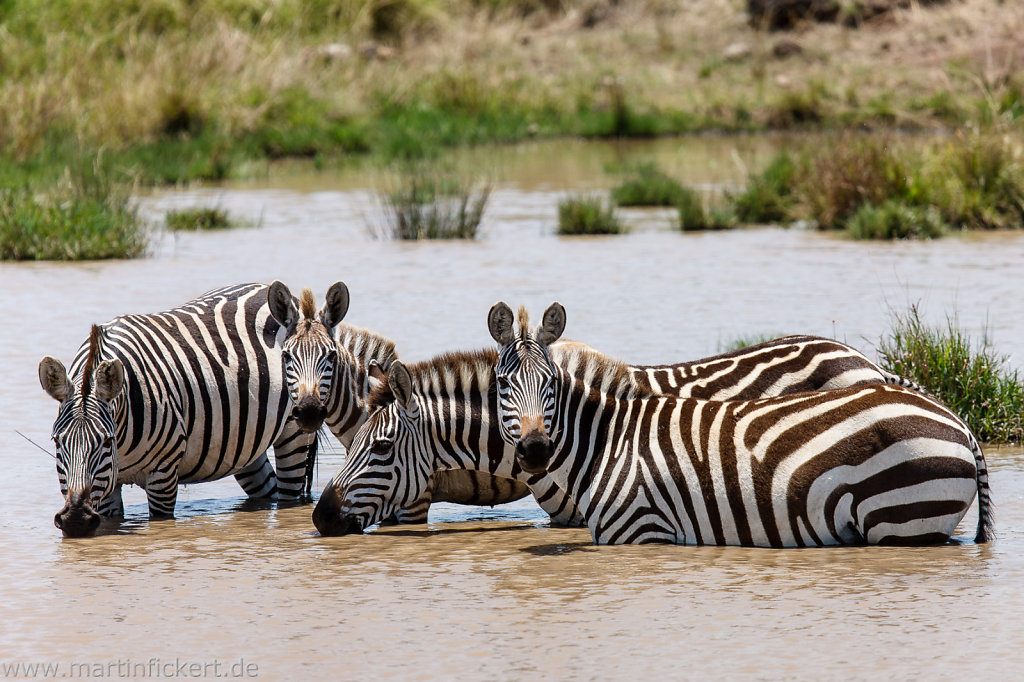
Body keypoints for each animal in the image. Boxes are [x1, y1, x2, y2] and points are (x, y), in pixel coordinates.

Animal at [38, 280, 323, 536]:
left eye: (106, 442)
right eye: (57, 442)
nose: (75, 520)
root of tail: (266, 288)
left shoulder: (163, 473)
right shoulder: (108, 485)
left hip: (295, 432)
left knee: (289, 494)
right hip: (246, 444)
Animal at [487, 303, 991, 548]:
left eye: (551, 383)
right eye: (503, 383)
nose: (535, 449)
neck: (607, 441)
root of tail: (960, 425)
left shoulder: (641, 531)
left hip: (902, 521)